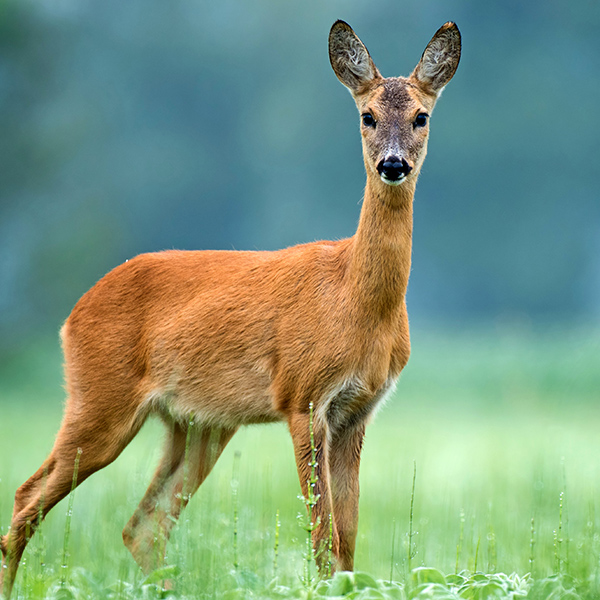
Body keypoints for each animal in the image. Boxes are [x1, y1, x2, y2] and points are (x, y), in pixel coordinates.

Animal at [0, 18, 462, 596]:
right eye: (367, 116)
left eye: (422, 116)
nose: (393, 164)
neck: (355, 300)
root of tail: (72, 315)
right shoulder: (302, 396)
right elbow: (322, 536)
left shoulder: (358, 410)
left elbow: (349, 540)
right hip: (99, 400)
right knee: (27, 500)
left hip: (198, 424)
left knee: (142, 525)